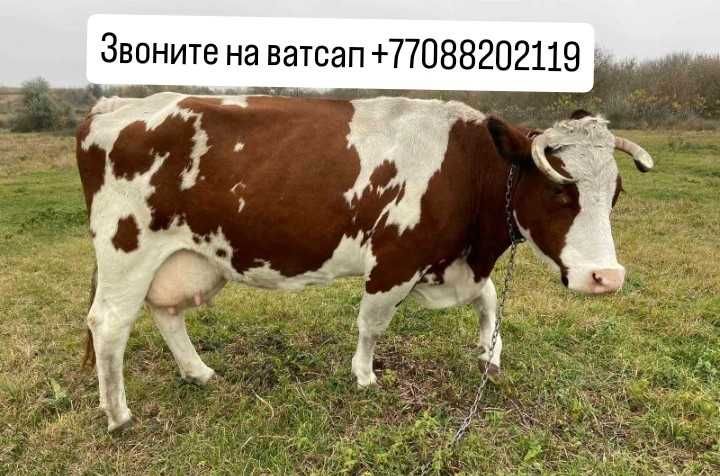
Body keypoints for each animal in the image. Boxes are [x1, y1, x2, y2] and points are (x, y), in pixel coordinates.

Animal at [76, 93, 654, 431]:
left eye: (616, 192)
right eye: (559, 191)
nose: (607, 277)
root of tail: (114, 104)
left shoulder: (454, 264)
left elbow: (489, 301)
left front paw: (489, 354)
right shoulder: (394, 258)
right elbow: (372, 322)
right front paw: (364, 377)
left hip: (185, 255)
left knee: (166, 311)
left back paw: (197, 372)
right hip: (127, 247)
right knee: (109, 324)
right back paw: (119, 414)